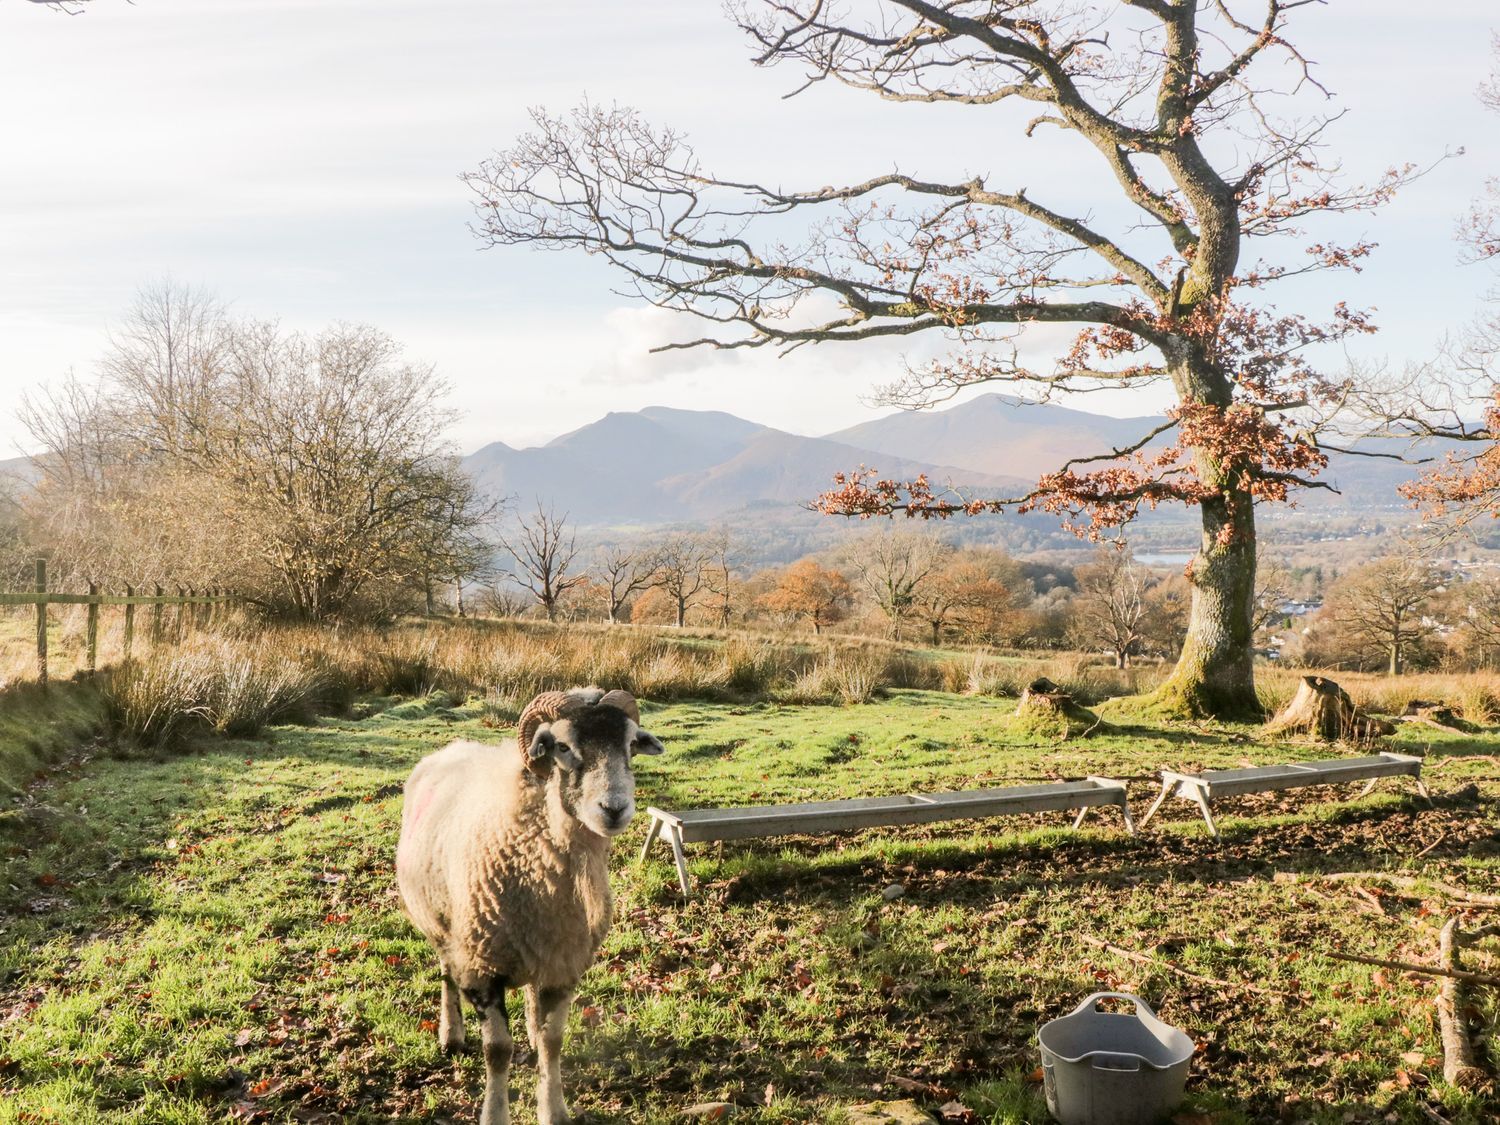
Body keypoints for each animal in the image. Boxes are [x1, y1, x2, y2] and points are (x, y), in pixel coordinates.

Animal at [393, 693, 663, 1122]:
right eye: (563, 747)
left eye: (631, 744)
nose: (614, 808)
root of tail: (452, 747)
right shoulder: (480, 967)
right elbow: (498, 1050)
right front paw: (495, 1114)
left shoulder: (564, 964)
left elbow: (553, 1041)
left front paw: (553, 1109)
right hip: (442, 925)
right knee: (446, 973)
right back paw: (451, 1035)